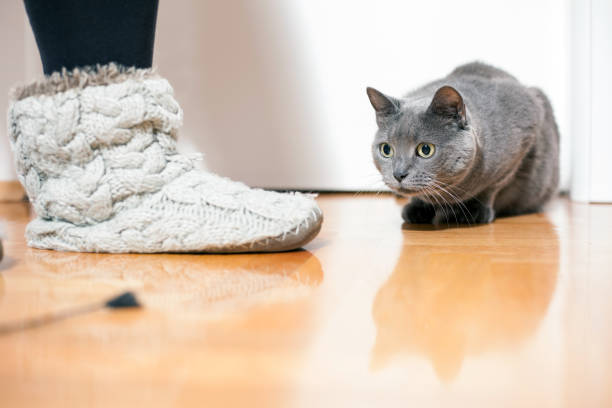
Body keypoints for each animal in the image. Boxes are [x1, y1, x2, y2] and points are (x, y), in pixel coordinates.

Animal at [368, 62, 560, 225]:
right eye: (386, 150)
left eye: (425, 150)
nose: (398, 174)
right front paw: (418, 209)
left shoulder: (523, 138)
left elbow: (492, 186)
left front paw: (476, 211)